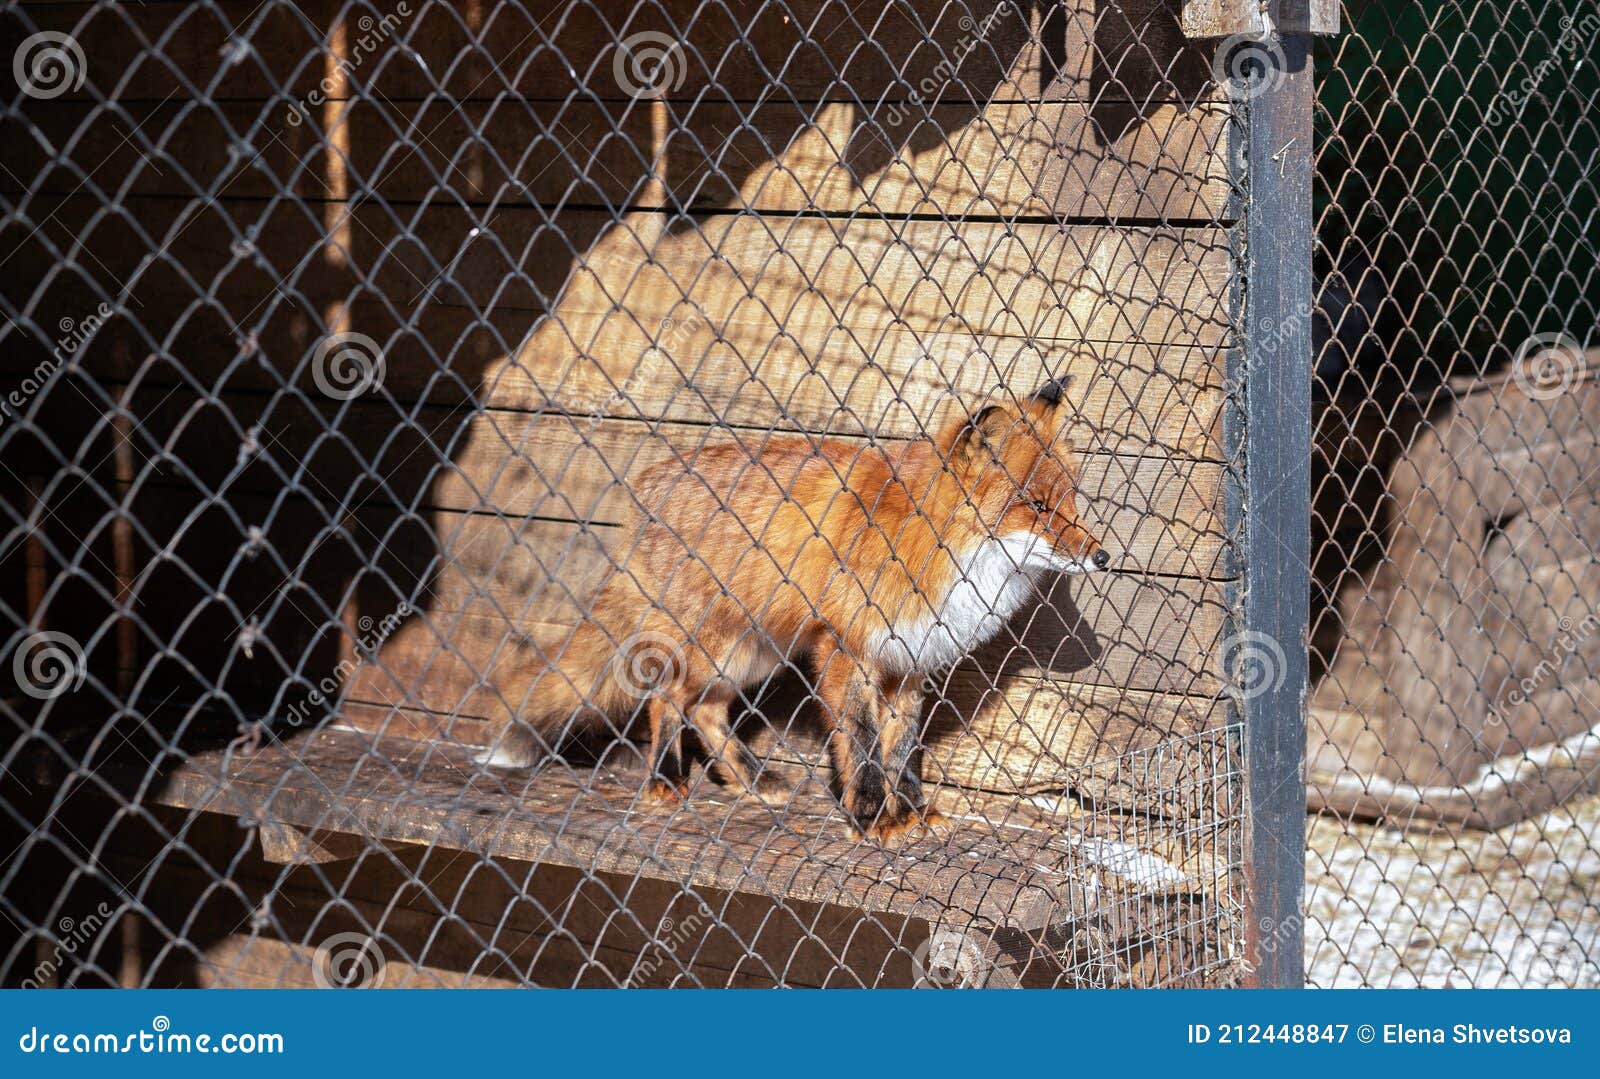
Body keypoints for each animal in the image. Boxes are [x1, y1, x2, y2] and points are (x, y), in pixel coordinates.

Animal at [483, 377, 1113, 838]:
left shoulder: (909, 665)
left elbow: (902, 751)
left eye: (1073, 503)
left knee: (706, 711)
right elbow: (862, 746)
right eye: (1036, 506)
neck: (934, 546)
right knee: (666, 699)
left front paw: (910, 811)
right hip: (709, 647)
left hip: (753, 656)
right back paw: (664, 779)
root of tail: (644, 492)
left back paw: (753, 780)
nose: (1104, 557)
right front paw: (872, 815)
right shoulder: (846, 651)